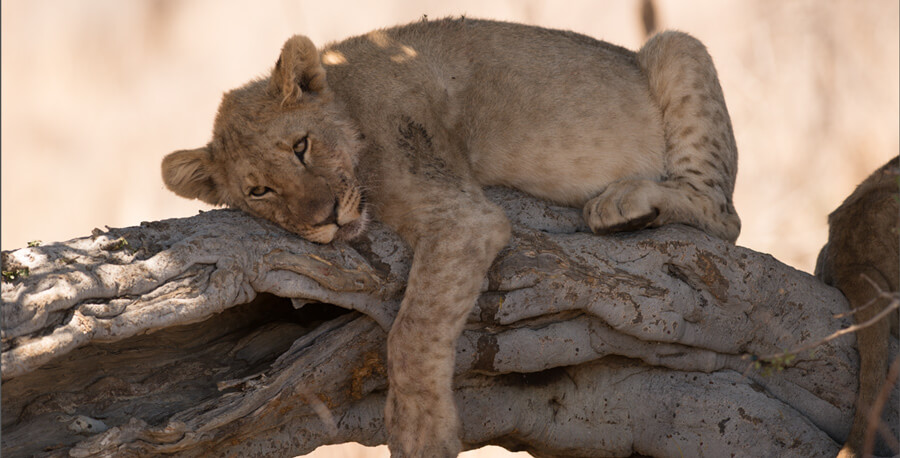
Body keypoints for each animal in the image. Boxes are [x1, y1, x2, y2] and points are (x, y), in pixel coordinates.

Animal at [162, 18, 741, 457]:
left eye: (301, 146)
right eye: (258, 190)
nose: (325, 217)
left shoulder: (463, 216)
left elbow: (412, 330)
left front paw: (421, 431)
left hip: (676, 49)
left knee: (723, 215)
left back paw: (626, 206)